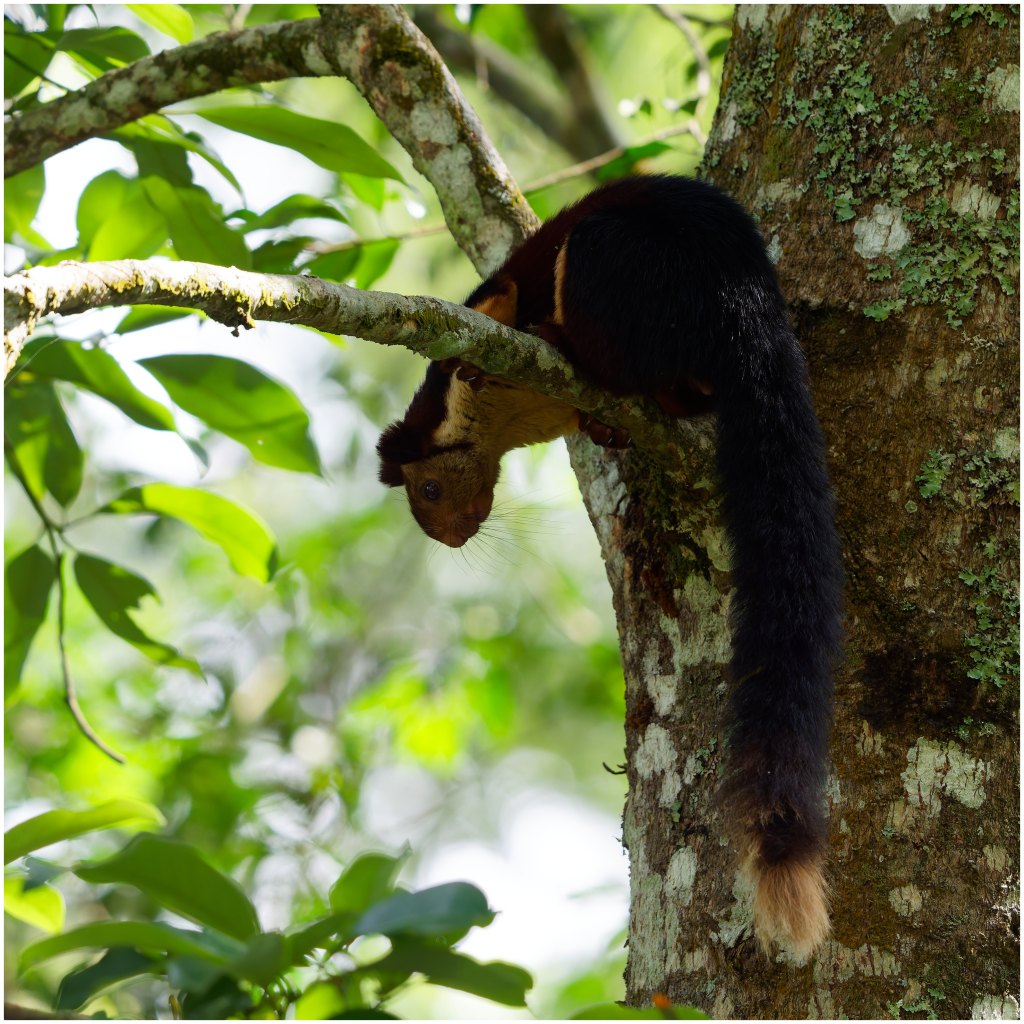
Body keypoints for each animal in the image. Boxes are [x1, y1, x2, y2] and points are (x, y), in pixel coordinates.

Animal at [377, 174, 843, 958]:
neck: (507, 423)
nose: (450, 537)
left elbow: (495, 308)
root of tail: (746, 300)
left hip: (621, 266)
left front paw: (485, 357)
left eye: (431, 490)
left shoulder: (490, 312)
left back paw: (567, 342)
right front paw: (602, 428)